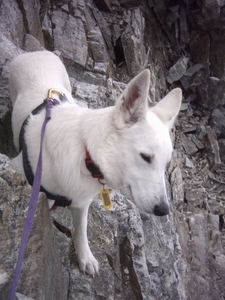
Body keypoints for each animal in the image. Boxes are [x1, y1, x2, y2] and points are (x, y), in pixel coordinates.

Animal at [10, 50, 181, 276]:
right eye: (146, 157)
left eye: (165, 164)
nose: (163, 210)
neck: (85, 154)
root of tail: (36, 52)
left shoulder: (81, 202)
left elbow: (81, 231)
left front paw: (85, 258)